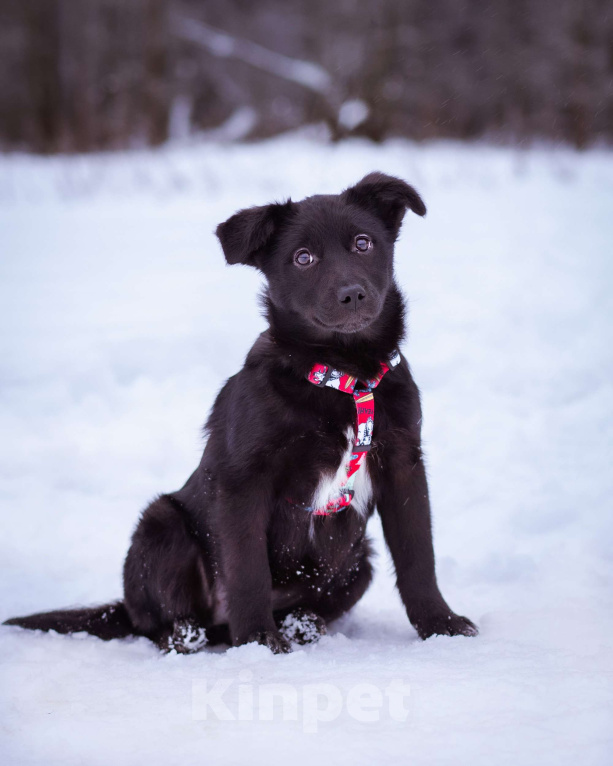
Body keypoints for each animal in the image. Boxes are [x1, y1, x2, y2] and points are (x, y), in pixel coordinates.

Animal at [5, 174, 478, 656]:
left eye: (363, 243)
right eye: (303, 258)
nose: (352, 294)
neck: (344, 377)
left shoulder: (403, 463)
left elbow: (419, 556)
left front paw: (440, 624)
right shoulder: (243, 479)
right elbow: (248, 569)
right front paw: (257, 642)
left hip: (359, 561)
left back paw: (301, 624)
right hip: (161, 525)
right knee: (155, 622)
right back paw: (187, 634)